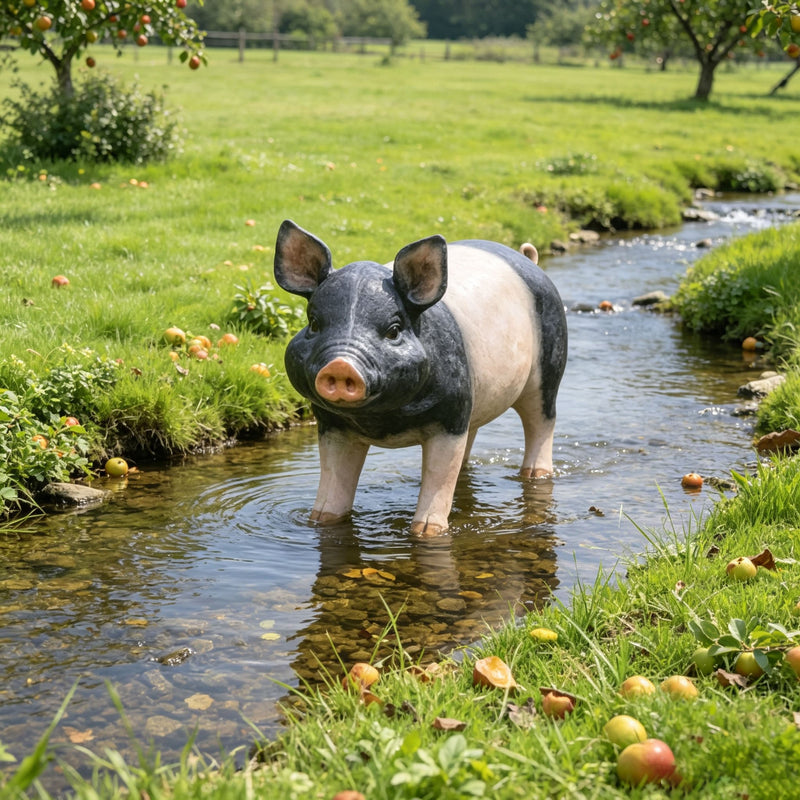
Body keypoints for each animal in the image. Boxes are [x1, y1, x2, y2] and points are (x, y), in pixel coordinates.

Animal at [273, 219, 567, 536]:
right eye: (314, 324)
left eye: (393, 330)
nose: (341, 366)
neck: (381, 422)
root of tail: (528, 259)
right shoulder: (332, 425)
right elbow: (334, 480)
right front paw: (318, 521)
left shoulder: (449, 420)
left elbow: (439, 478)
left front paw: (427, 533)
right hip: (474, 398)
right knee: (473, 436)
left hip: (549, 364)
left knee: (542, 421)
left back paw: (536, 474)